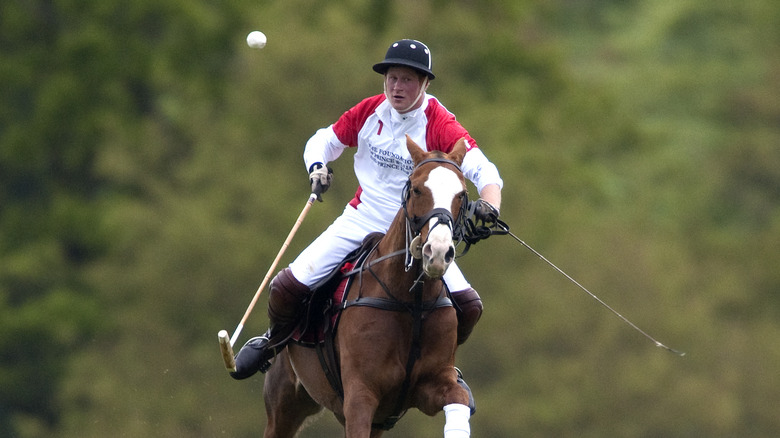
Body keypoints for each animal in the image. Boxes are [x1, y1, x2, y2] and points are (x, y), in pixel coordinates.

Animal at [262, 135, 472, 436]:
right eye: (417, 189)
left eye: (462, 194)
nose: (439, 252)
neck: (410, 301)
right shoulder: (360, 396)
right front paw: (319, 175)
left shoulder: (432, 386)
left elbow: (460, 397)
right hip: (285, 401)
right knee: (285, 284)